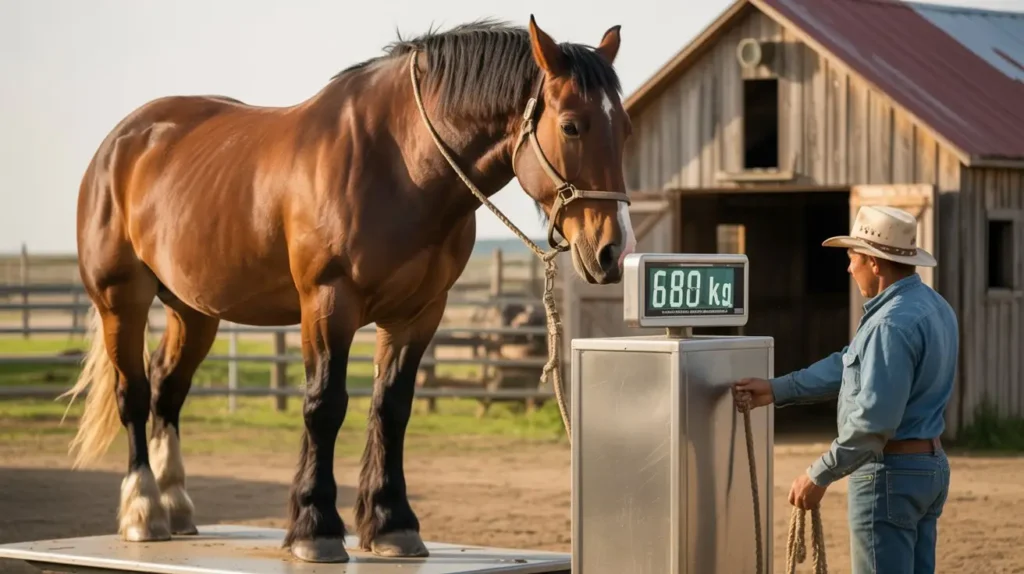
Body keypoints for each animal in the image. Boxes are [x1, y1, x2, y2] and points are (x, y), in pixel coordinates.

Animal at [62, 16, 635, 563]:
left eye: (625, 128)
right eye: (571, 125)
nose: (612, 251)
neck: (399, 163)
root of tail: (123, 140)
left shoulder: (418, 313)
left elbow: (392, 408)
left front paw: (393, 524)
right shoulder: (328, 303)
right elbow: (325, 406)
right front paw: (315, 529)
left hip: (193, 309)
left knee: (167, 388)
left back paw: (177, 505)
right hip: (122, 302)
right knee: (134, 393)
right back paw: (143, 511)